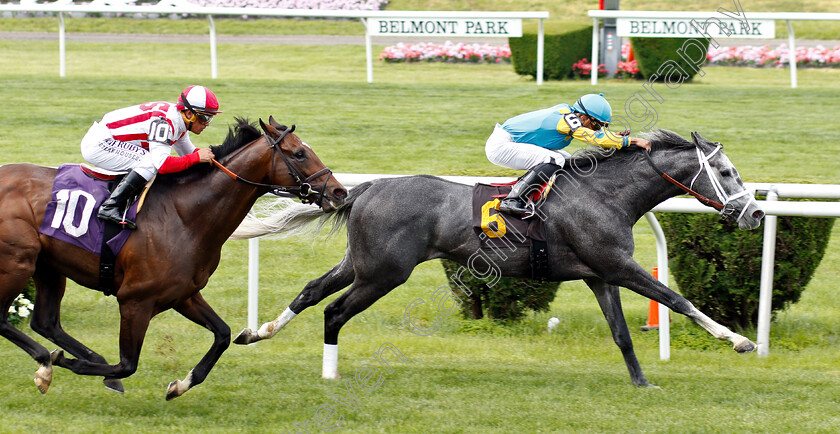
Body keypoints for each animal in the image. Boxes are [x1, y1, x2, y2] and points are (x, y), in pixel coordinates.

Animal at [0, 116, 346, 400]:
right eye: (299, 153)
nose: (339, 192)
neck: (186, 215)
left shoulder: (183, 294)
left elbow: (223, 335)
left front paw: (180, 385)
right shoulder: (135, 300)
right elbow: (127, 364)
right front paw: (67, 362)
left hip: (47, 265)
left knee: (45, 321)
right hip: (17, 262)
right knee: (6, 319)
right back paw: (48, 363)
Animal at [233, 130, 764, 386]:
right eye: (725, 171)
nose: (756, 213)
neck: (605, 194)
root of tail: (366, 188)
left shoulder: (600, 275)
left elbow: (622, 334)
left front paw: (641, 383)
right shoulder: (618, 267)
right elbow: (679, 301)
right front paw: (740, 340)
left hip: (362, 263)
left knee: (311, 292)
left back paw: (257, 332)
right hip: (384, 273)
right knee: (334, 310)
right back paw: (329, 372)